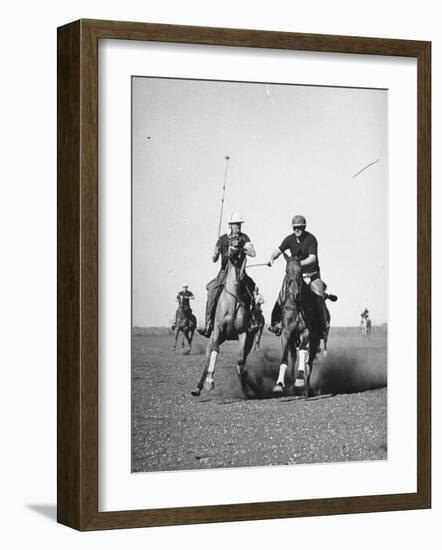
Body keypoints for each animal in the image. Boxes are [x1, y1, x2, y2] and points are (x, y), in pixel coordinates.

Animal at [190, 248, 256, 398]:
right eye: (231, 244)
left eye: (242, 249)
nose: (233, 252)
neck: (233, 300)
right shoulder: (218, 329)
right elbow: (215, 352)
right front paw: (210, 383)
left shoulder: (243, 333)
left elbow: (240, 360)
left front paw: (246, 387)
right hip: (214, 338)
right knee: (208, 361)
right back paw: (198, 388)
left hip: (248, 342)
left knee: (242, 359)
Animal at [272, 256, 322, 398]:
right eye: (287, 271)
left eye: (301, 271)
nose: (294, 292)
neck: (297, 305)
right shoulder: (286, 332)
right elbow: (285, 358)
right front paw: (279, 385)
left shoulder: (306, 331)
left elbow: (303, 352)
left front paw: (299, 381)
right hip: (293, 340)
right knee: (293, 357)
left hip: (315, 340)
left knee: (309, 364)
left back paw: (306, 389)